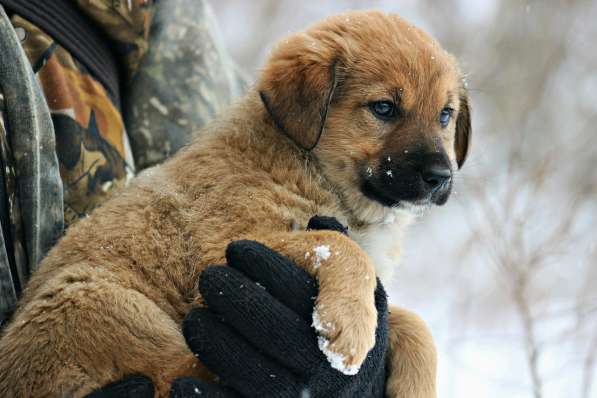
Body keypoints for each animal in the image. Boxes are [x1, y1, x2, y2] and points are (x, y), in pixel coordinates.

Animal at [0, 10, 466, 398]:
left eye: (445, 115)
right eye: (384, 108)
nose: (441, 177)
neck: (306, 166)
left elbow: (410, 322)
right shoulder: (223, 245)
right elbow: (343, 248)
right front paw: (348, 330)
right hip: (97, 301)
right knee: (183, 373)